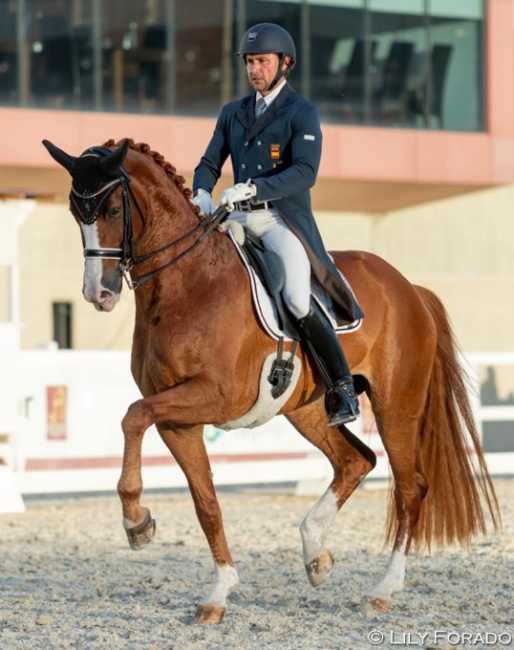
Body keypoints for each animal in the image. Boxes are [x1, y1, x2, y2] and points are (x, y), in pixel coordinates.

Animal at [42, 138, 498, 624]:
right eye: (75, 211)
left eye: (112, 209)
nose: (98, 294)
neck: (187, 283)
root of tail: (410, 288)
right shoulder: (176, 417)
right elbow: (205, 502)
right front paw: (218, 592)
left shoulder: (214, 397)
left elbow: (132, 416)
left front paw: (136, 523)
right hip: (310, 408)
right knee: (355, 461)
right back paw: (316, 554)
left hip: (397, 406)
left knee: (410, 487)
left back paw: (382, 590)